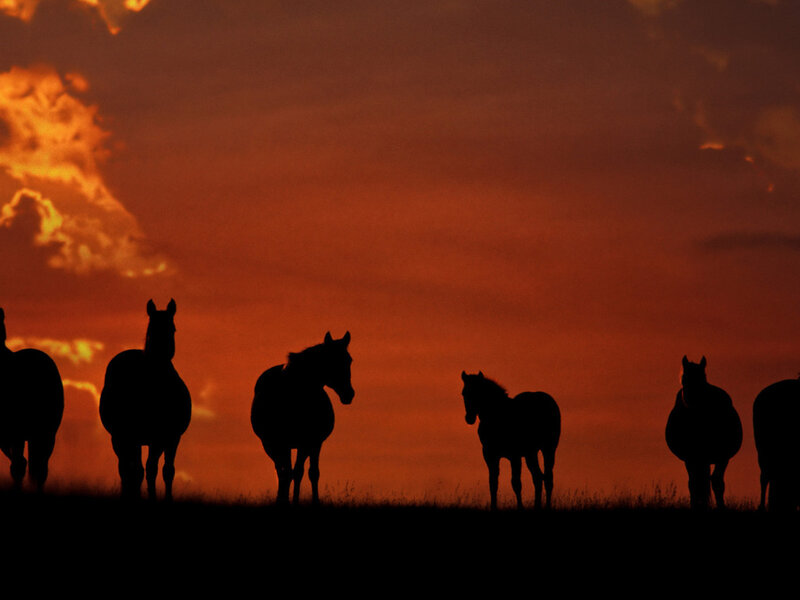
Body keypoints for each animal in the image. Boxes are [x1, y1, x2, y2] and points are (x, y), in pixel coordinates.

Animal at [99, 299, 191, 500]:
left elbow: (165, 470)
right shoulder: (142, 438)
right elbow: (145, 470)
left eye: (172, 328)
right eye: (151, 329)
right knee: (126, 469)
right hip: (121, 438)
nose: (161, 354)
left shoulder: (171, 437)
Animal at [251, 331, 354, 505]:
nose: (349, 394)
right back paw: (282, 498)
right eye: (331, 360)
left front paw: (312, 501)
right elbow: (289, 473)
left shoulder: (313, 442)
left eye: (349, 360)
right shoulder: (282, 443)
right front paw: (287, 500)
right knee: (282, 472)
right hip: (272, 445)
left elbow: (310, 472)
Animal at [461, 371, 561, 510]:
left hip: (548, 449)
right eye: (464, 393)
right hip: (531, 454)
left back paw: (547, 506)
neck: (497, 416)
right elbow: (493, 483)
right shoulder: (490, 455)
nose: (469, 418)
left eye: (478, 392)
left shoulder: (514, 456)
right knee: (537, 478)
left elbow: (516, 483)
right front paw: (493, 507)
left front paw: (520, 507)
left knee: (548, 478)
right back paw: (537, 506)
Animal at [665, 356, 742, 509]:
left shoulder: (722, 457)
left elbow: (717, 482)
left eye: (703, 377)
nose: (691, 401)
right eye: (683, 378)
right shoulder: (690, 457)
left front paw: (721, 507)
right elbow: (693, 483)